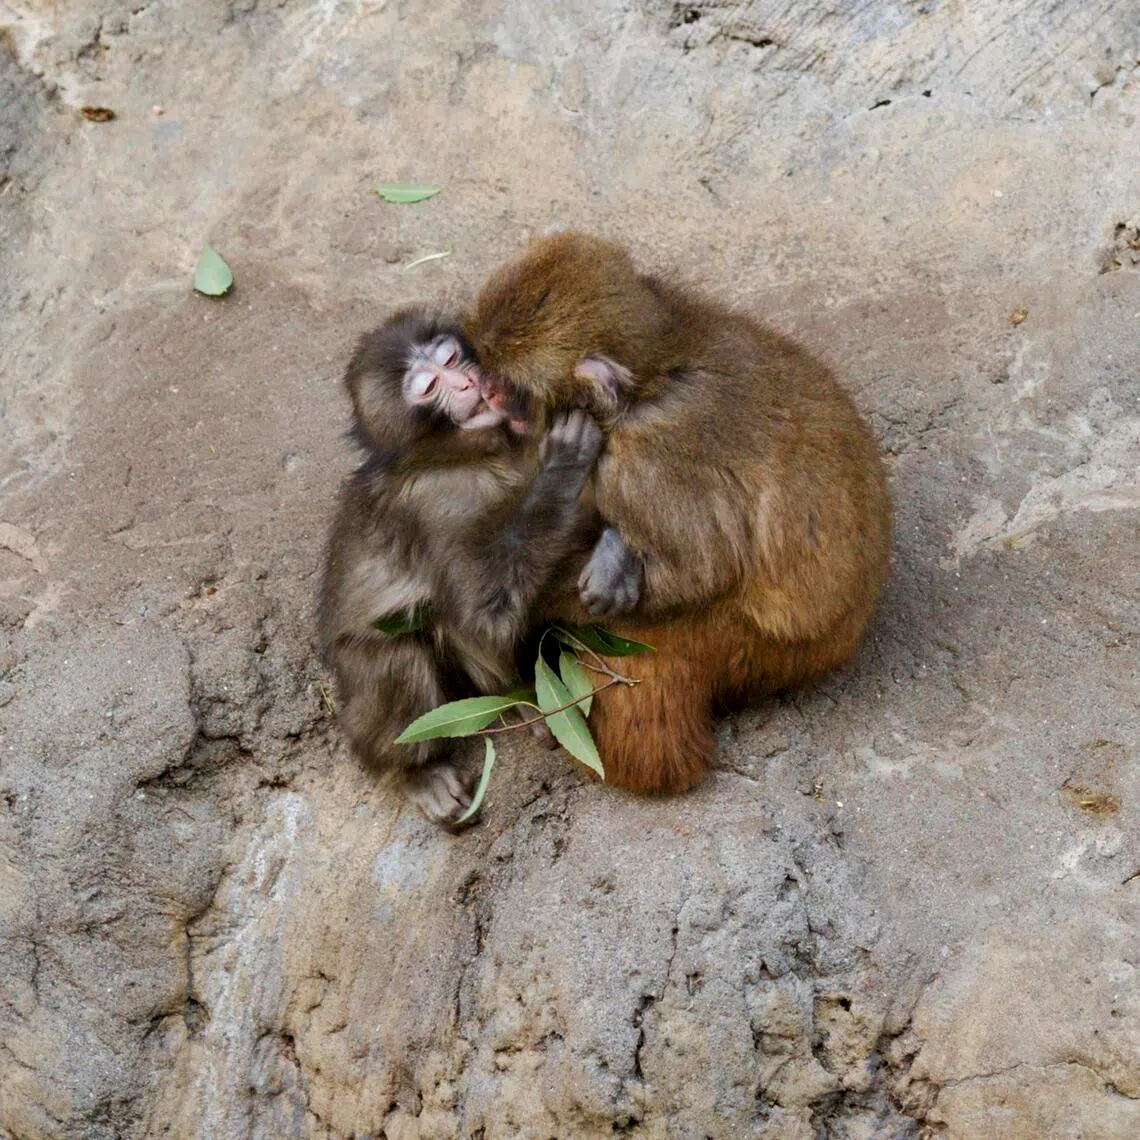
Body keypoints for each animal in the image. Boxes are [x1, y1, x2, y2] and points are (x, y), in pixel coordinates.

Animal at [317, 308, 604, 824]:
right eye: (430, 387)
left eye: (450, 357)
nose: (469, 382)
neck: (477, 451)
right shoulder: (437, 504)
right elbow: (480, 609)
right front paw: (562, 471)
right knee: (402, 652)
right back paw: (424, 764)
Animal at [465, 233, 893, 795]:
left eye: (510, 388)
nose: (483, 392)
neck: (646, 380)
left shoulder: (639, 465)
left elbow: (701, 569)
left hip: (740, 647)